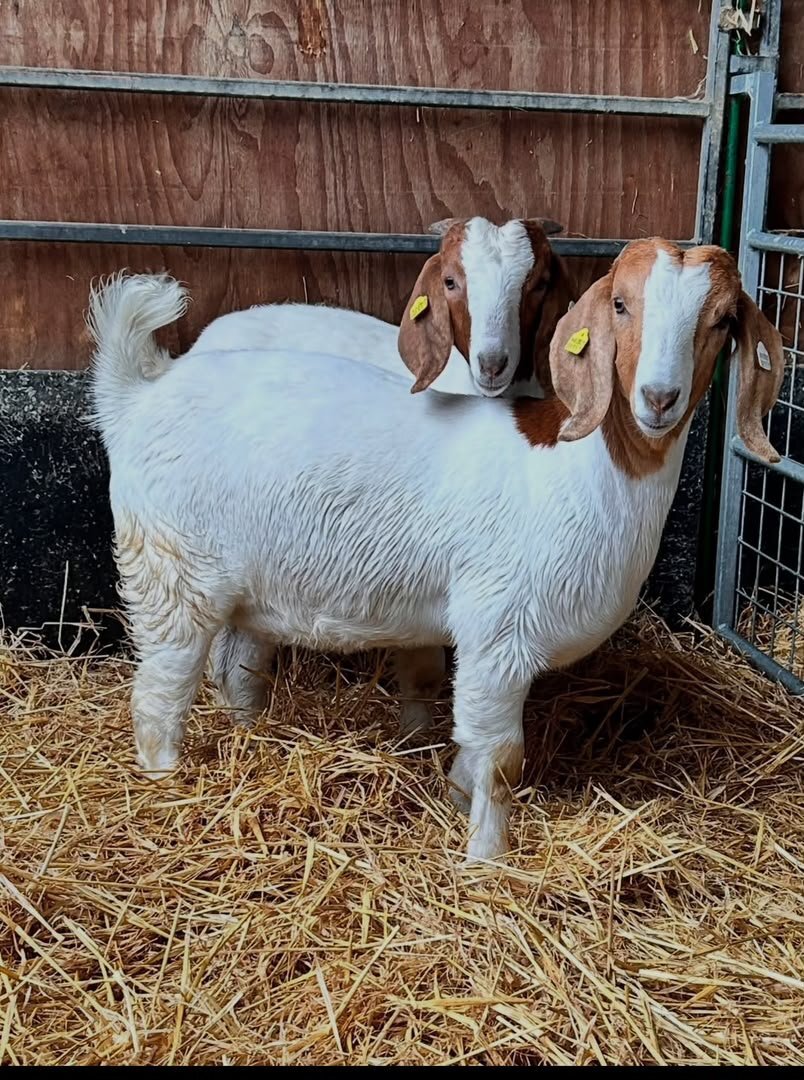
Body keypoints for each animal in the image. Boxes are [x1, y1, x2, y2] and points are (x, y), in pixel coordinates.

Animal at [88, 239, 783, 863]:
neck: (583, 468)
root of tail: (137, 396)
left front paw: (453, 799)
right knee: (159, 694)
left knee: (236, 670)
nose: (659, 399)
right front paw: (487, 863)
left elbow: (471, 749)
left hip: (239, 588)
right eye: (619, 303)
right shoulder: (500, 633)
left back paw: (248, 739)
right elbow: (501, 760)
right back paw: (166, 783)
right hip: (171, 573)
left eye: (724, 319)